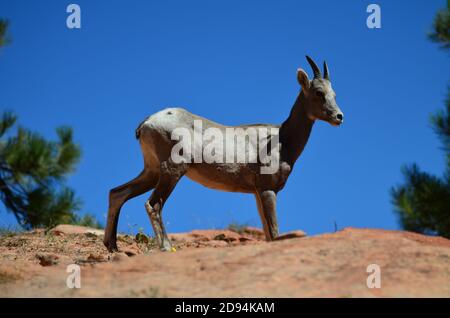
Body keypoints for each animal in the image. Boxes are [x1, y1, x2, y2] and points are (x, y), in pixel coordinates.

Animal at [104, 56, 344, 252]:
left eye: (334, 94)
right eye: (319, 92)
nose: (339, 117)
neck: (281, 139)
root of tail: (147, 123)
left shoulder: (257, 193)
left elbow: (268, 234)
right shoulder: (268, 191)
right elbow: (274, 232)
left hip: (152, 172)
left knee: (117, 193)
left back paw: (112, 246)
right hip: (172, 172)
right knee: (153, 205)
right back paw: (165, 248)